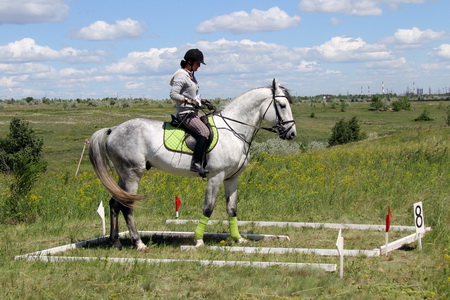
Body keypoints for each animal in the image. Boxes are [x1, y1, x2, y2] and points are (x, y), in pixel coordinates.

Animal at [89, 78, 298, 250]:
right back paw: (138, 243)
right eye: (282, 105)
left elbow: (232, 209)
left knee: (115, 203)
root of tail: (114, 129)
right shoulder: (216, 176)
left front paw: (239, 239)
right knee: (127, 206)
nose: (291, 133)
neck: (233, 130)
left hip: (123, 175)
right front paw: (198, 241)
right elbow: (208, 208)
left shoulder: (232, 178)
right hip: (132, 173)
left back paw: (116, 242)